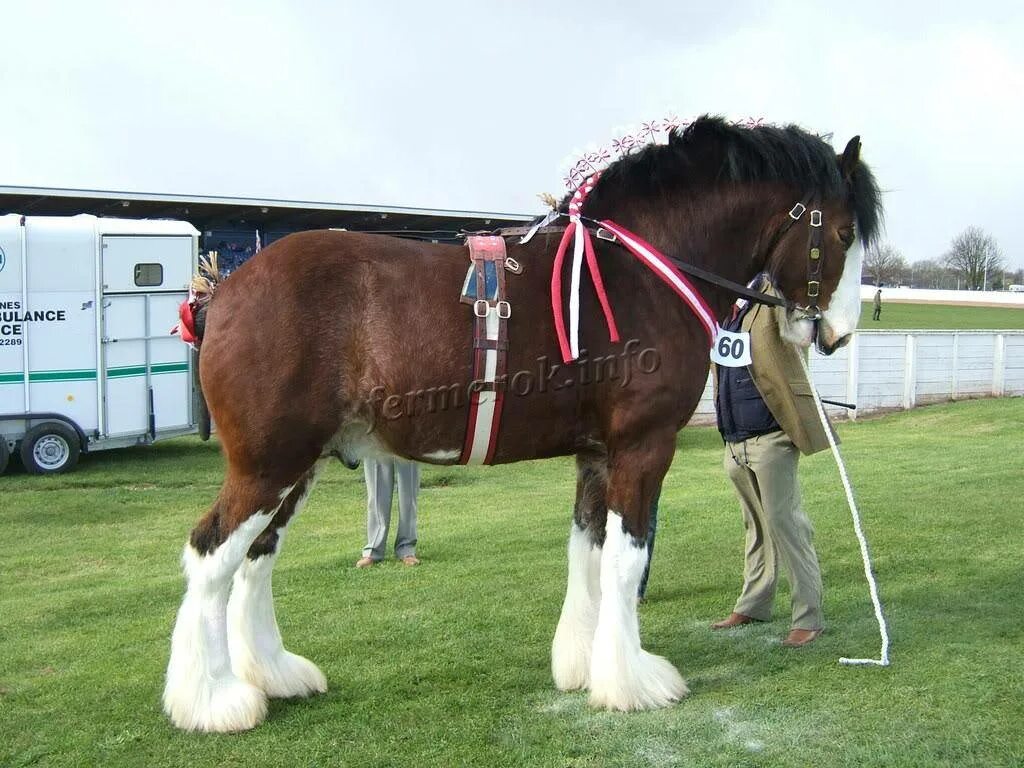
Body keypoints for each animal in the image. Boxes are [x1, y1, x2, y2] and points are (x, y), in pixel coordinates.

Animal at [161, 115, 880, 733]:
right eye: (845, 233)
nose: (840, 333)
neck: (641, 274)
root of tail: (223, 291)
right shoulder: (642, 448)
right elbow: (625, 560)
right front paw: (634, 683)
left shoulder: (596, 455)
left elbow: (588, 553)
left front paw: (584, 667)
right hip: (270, 464)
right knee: (211, 554)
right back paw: (214, 701)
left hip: (297, 466)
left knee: (255, 559)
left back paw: (274, 676)